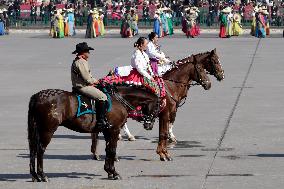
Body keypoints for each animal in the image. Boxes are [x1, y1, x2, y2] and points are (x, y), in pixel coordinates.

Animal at [28, 86, 160, 182]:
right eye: (158, 107)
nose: (149, 125)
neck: (119, 99)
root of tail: (38, 96)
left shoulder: (107, 131)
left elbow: (108, 150)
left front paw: (109, 171)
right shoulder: (114, 130)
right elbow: (112, 150)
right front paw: (114, 172)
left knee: (33, 149)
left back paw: (35, 175)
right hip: (48, 130)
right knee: (40, 150)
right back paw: (42, 175)